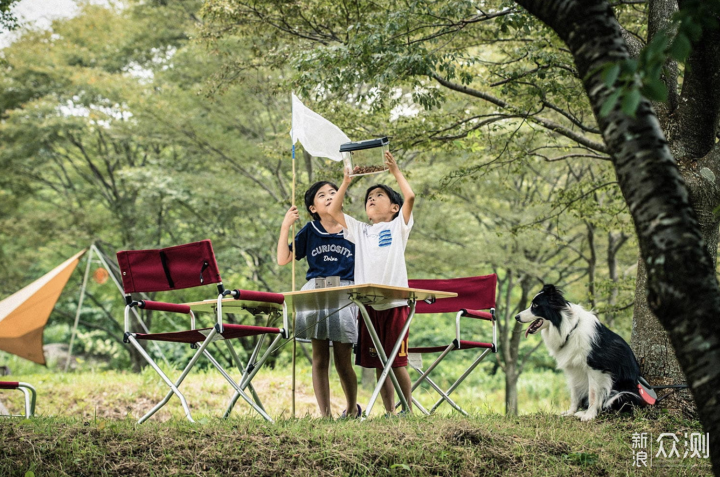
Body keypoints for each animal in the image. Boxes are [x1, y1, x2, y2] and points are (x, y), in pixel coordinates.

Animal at [516, 284, 644, 418]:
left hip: (623, 394)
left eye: (535, 305)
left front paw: (590, 415)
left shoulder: (596, 368)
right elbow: (575, 393)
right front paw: (571, 412)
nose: (516, 317)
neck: (570, 329)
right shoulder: (573, 368)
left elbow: (593, 393)